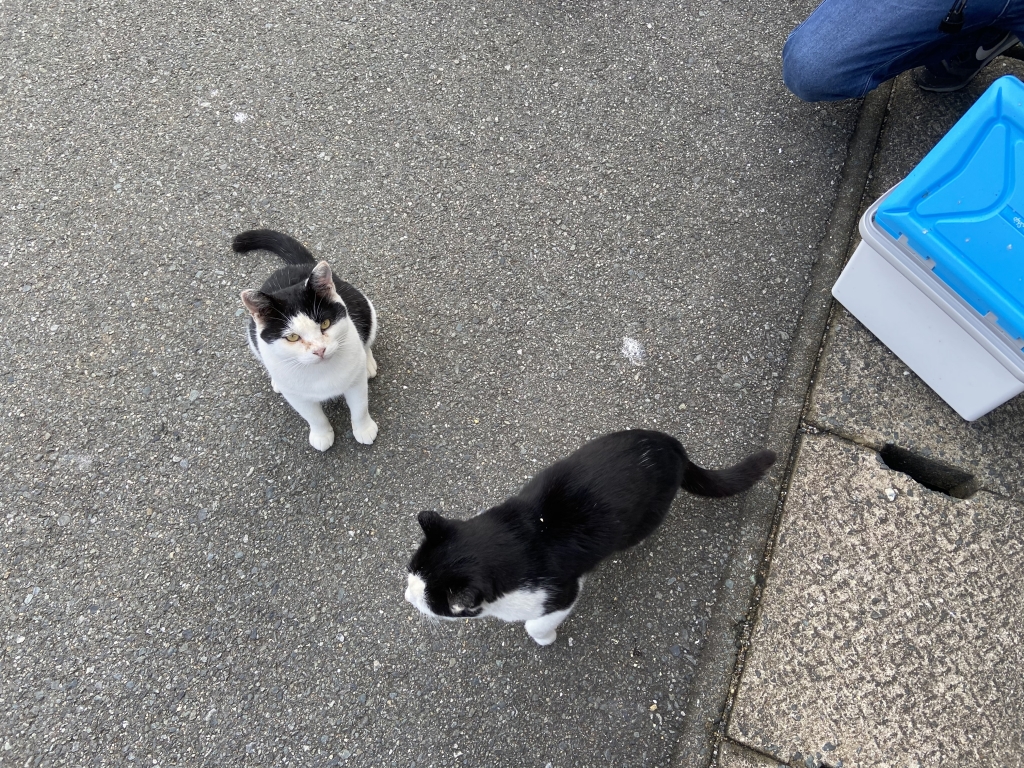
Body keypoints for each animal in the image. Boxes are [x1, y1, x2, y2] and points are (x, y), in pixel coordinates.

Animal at [235, 229, 379, 450]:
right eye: (293, 337)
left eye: (325, 324)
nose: (319, 350)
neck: (320, 372)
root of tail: (299, 265)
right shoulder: (297, 396)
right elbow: (314, 417)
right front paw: (321, 435)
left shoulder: (355, 383)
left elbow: (360, 408)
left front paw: (364, 429)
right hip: (252, 337)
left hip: (364, 306)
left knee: (368, 338)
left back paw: (368, 362)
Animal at [405, 429, 775, 645]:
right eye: (409, 576)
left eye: (428, 603)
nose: (406, 598)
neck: (511, 539)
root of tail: (673, 445)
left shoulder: (560, 593)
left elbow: (534, 625)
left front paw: (546, 638)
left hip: (646, 516)